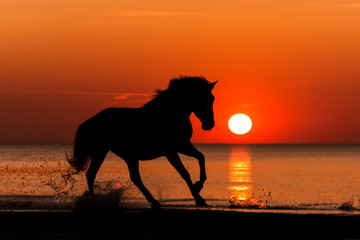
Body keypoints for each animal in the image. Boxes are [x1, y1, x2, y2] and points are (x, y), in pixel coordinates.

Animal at [67, 75, 217, 208]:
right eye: (203, 98)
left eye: (212, 98)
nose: (209, 125)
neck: (170, 113)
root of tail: (89, 122)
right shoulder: (171, 151)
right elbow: (184, 173)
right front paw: (199, 197)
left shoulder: (183, 146)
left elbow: (201, 157)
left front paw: (199, 187)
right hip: (103, 152)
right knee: (93, 174)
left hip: (124, 156)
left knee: (128, 177)